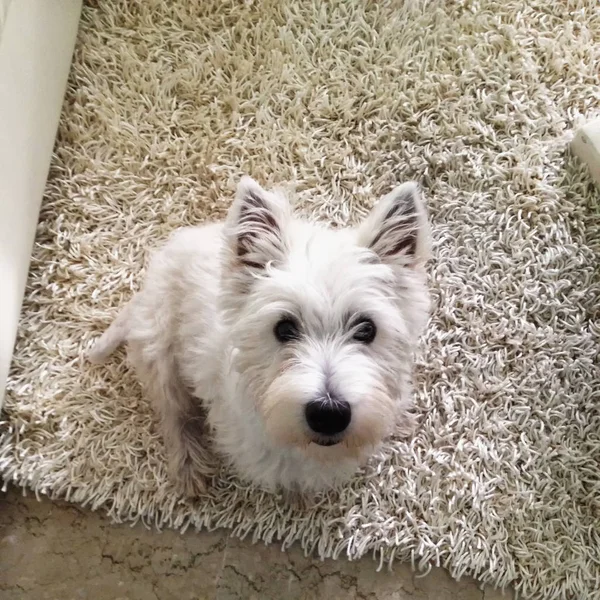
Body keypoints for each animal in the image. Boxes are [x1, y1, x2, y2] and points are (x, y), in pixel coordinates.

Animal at [88, 176, 432, 494]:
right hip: (159, 353)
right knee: (174, 413)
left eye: (367, 329)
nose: (328, 414)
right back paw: (188, 466)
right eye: (284, 328)